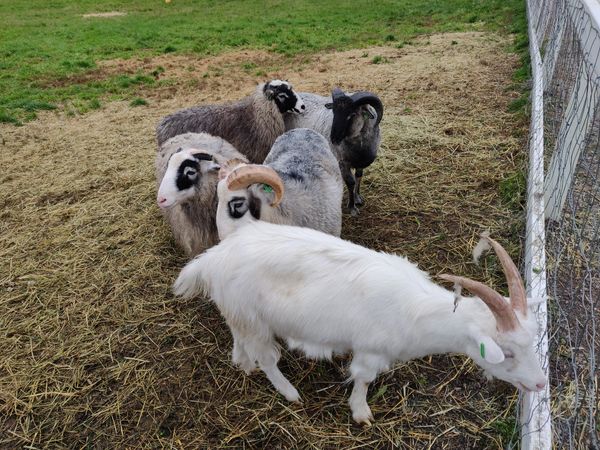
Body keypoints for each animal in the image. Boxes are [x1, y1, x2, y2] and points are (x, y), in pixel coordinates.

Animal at [172, 227, 544, 424]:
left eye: (532, 342)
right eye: (507, 352)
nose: (540, 384)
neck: (417, 312)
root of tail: (213, 259)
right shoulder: (370, 349)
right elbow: (364, 378)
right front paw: (361, 412)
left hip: (239, 311)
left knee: (238, 336)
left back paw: (243, 363)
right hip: (254, 318)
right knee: (267, 358)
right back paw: (289, 392)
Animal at [284, 87, 382, 216]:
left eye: (352, 114)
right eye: (334, 111)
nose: (333, 139)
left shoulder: (360, 161)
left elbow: (359, 176)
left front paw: (357, 198)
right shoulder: (342, 162)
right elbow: (351, 182)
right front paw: (352, 207)